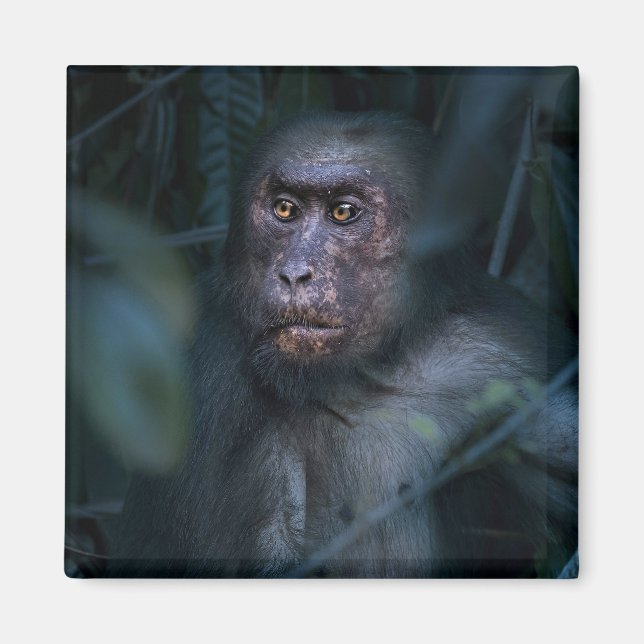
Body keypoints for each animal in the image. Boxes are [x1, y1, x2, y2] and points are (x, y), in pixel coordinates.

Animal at [111, 111, 578, 578]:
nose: (295, 272)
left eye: (343, 212)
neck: (365, 375)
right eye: (285, 209)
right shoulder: (207, 364)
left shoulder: (510, 352)